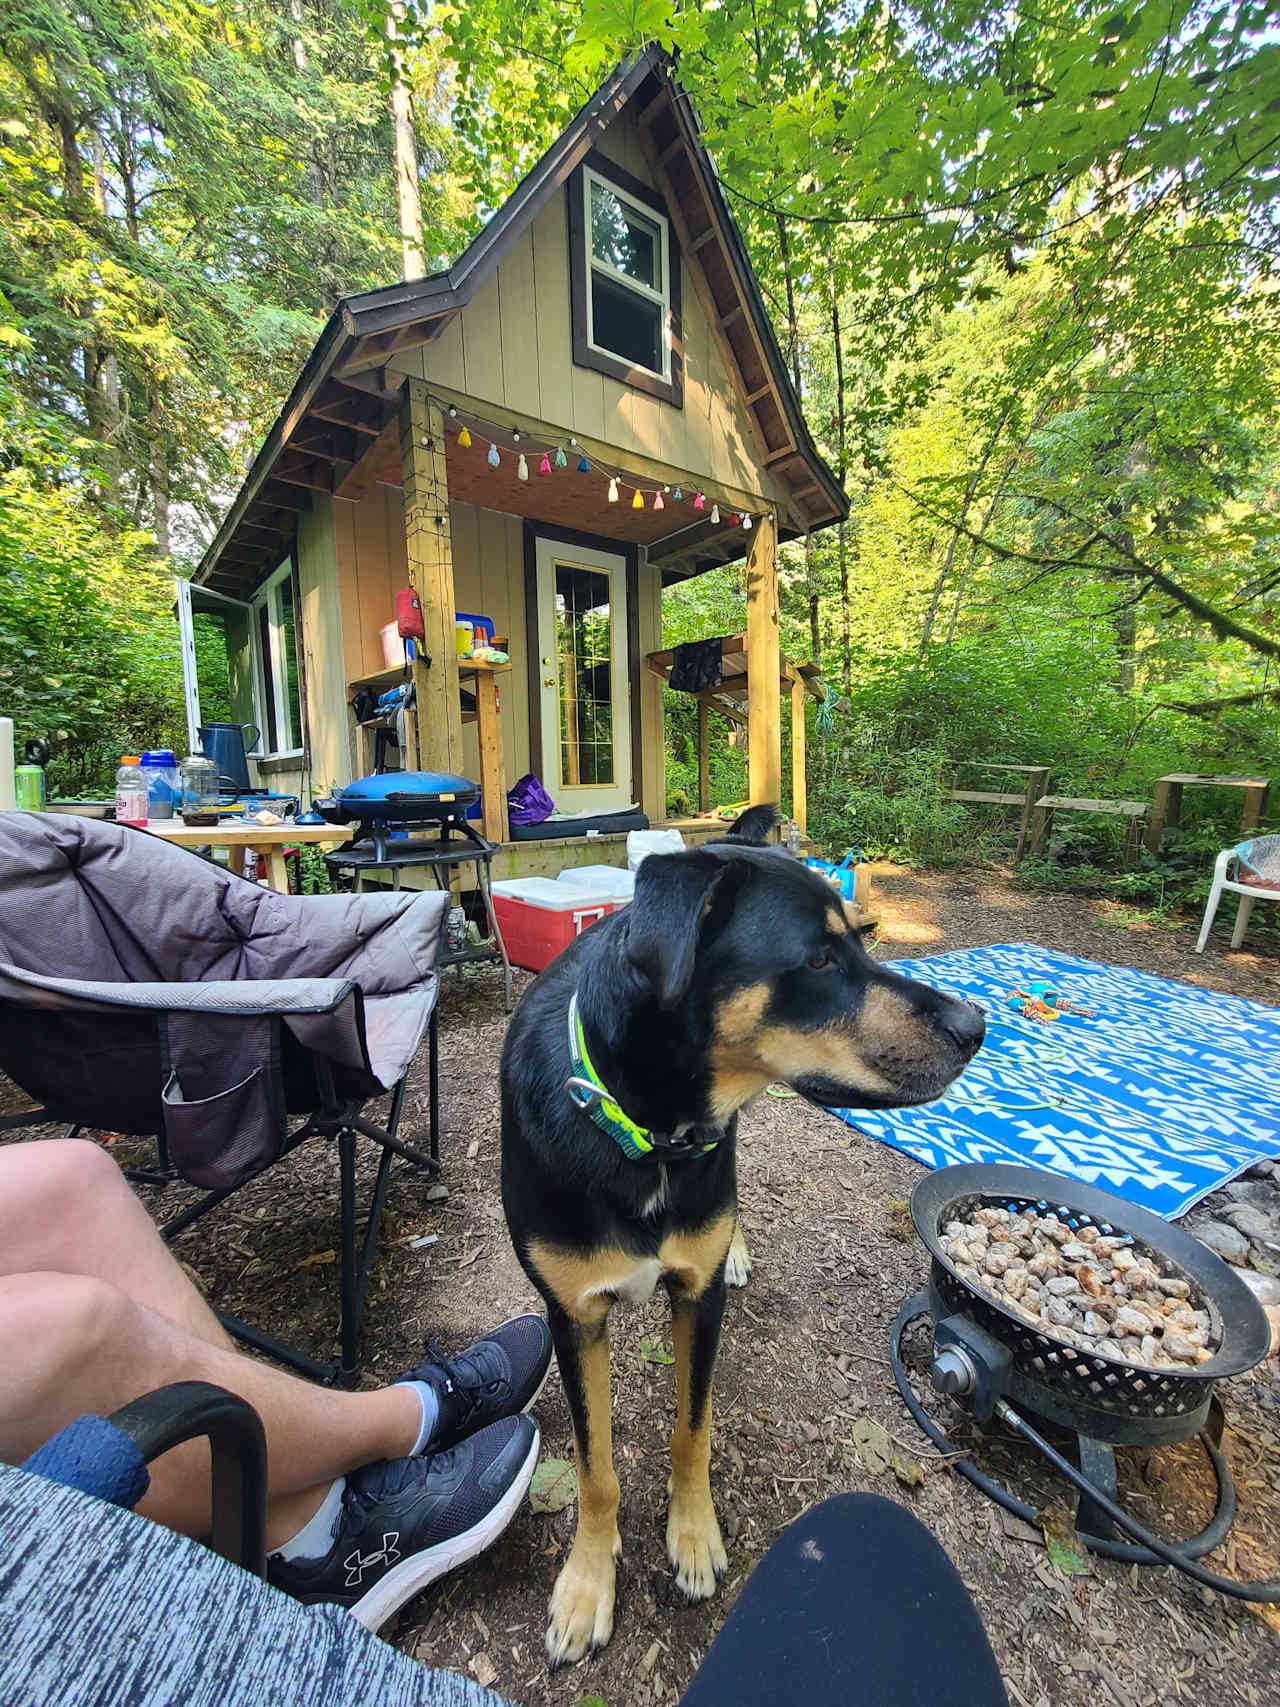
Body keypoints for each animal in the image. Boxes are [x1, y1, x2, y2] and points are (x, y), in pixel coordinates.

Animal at [501, 802, 983, 1666]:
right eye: (819, 957)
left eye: (860, 940)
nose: (978, 1023)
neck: (647, 1133)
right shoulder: (572, 1316)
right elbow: (595, 1465)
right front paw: (588, 1581)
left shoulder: (696, 1301)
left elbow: (692, 1429)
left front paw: (693, 1535)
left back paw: (737, 1245)